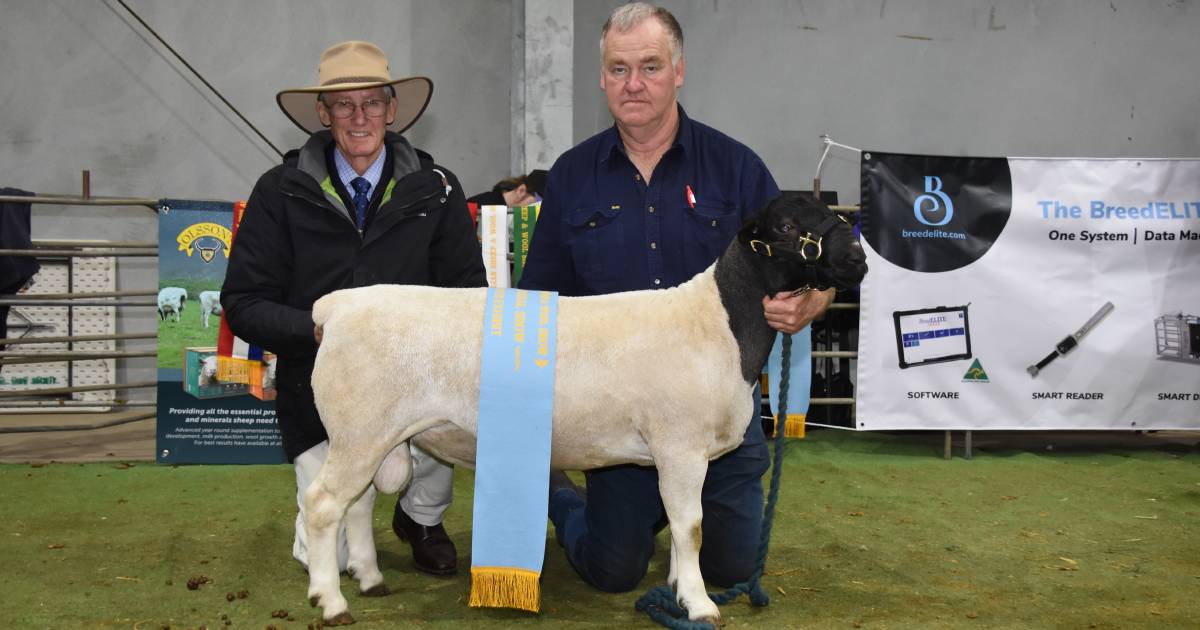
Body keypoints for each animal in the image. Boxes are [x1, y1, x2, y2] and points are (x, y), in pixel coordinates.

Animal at [300, 194, 864, 624]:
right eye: (786, 226)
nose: (857, 259)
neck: (720, 321)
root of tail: (335, 307)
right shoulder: (680, 446)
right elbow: (692, 527)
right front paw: (700, 603)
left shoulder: (676, 455)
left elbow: (680, 525)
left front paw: (678, 587)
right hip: (361, 429)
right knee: (325, 504)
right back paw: (331, 601)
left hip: (371, 435)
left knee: (358, 505)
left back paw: (369, 578)